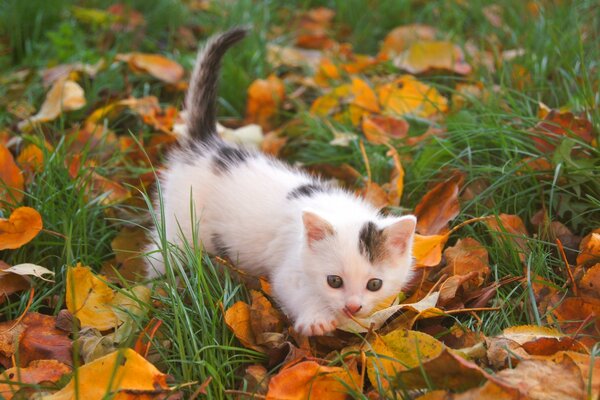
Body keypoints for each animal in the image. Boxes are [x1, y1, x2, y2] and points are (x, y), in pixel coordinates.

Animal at [145, 26, 418, 336]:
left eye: (375, 284)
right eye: (334, 281)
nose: (352, 306)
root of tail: (206, 144)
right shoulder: (288, 269)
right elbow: (293, 290)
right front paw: (316, 319)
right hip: (180, 221)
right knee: (162, 252)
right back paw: (157, 288)